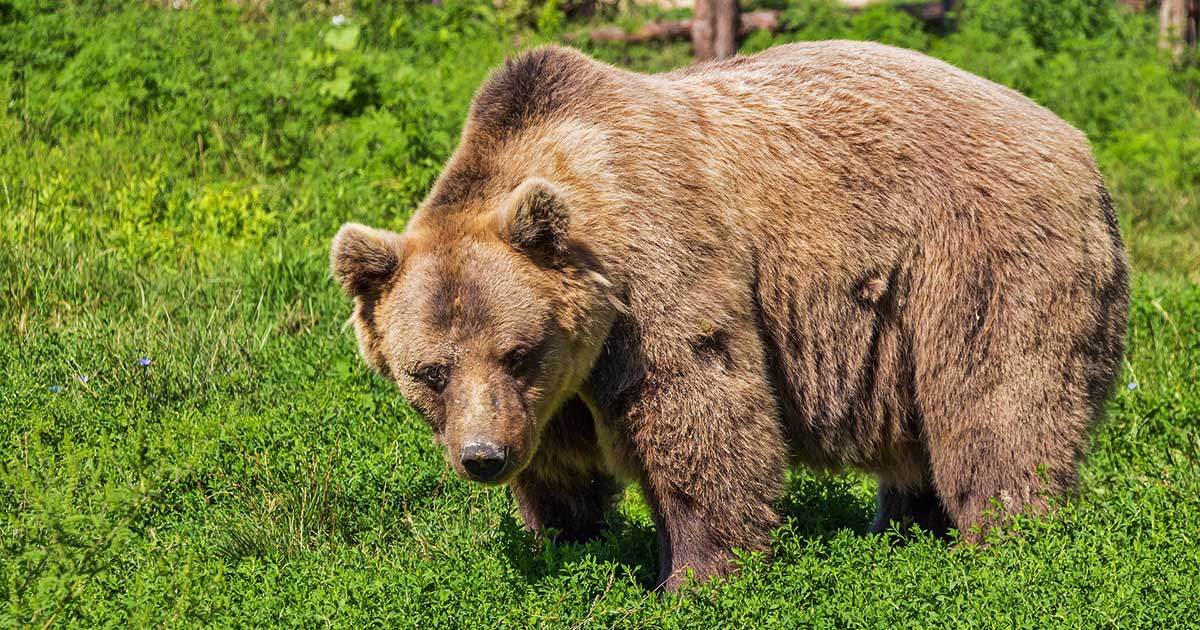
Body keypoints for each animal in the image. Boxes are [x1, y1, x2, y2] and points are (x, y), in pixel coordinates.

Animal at [333, 41, 1128, 592]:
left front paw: (693, 577)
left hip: (980, 259)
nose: (482, 457)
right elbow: (563, 469)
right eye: (430, 372)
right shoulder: (555, 389)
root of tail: (1081, 147)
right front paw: (567, 544)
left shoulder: (657, 271)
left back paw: (1007, 542)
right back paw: (901, 532)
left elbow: (701, 413)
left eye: (516, 351)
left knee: (998, 407)